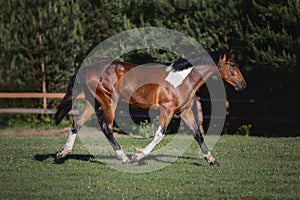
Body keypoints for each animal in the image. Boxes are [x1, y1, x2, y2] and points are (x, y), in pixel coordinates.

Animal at [54, 49, 246, 166]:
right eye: (232, 65)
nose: (243, 85)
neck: (182, 80)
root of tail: (86, 69)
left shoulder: (184, 111)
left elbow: (197, 134)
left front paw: (212, 160)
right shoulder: (166, 110)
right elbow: (159, 135)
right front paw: (138, 155)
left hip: (91, 102)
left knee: (77, 124)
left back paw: (62, 153)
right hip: (108, 102)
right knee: (107, 128)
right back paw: (125, 158)